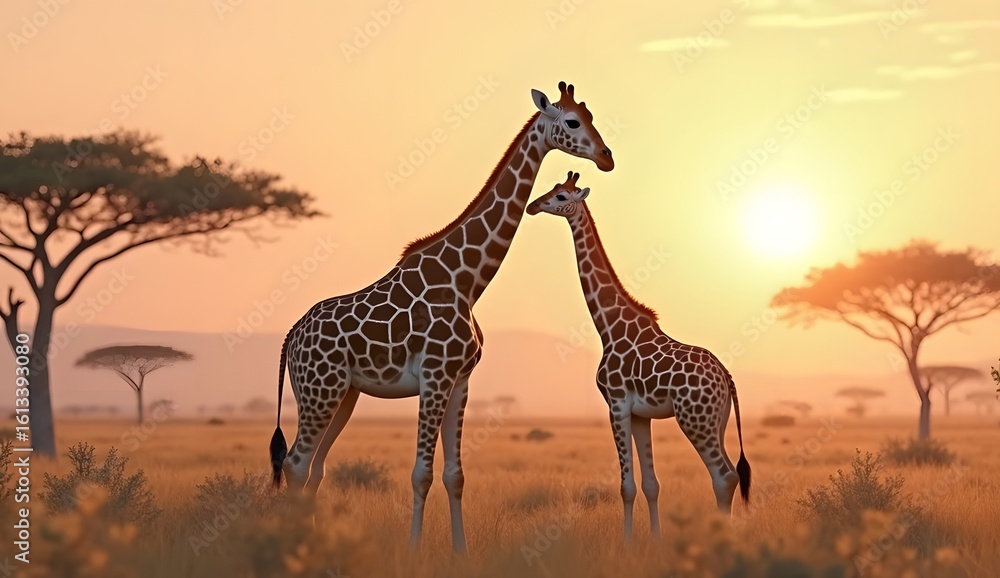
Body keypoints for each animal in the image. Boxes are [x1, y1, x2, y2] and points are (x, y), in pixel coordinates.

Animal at [268, 83, 614, 552]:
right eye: (573, 122)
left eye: (592, 115)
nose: (607, 156)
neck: (467, 280)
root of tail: (291, 337)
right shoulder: (434, 375)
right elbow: (421, 473)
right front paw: (414, 550)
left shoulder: (460, 379)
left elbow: (455, 475)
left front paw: (460, 551)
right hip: (319, 391)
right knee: (296, 463)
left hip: (341, 394)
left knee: (313, 468)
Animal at [526, 173, 751, 540]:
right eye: (552, 188)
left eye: (560, 196)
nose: (533, 205)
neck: (608, 327)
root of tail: (725, 376)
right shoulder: (641, 414)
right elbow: (651, 484)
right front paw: (655, 538)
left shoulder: (616, 403)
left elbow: (626, 486)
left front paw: (627, 541)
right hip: (717, 420)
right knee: (730, 472)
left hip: (695, 419)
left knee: (724, 476)